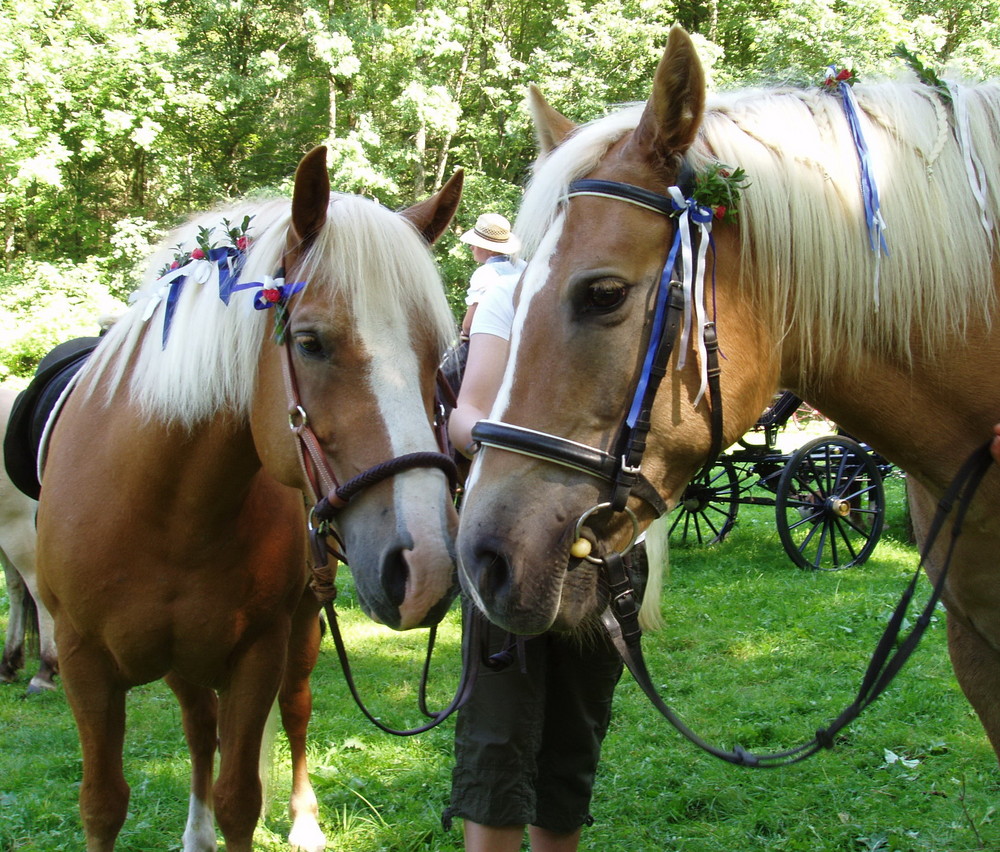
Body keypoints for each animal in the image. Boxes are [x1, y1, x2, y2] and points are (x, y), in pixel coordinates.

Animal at [36, 148, 464, 852]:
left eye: (438, 357)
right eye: (310, 342)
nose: (425, 566)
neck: (166, 511)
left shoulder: (258, 653)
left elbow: (240, 797)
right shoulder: (82, 662)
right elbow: (102, 804)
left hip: (302, 626)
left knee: (293, 712)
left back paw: (303, 823)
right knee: (197, 726)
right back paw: (195, 831)